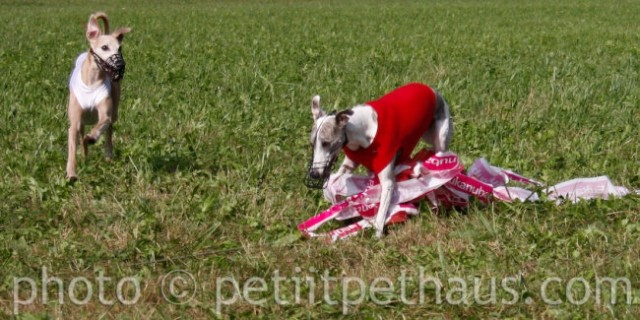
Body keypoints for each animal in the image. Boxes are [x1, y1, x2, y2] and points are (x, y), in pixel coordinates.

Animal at [65, 12, 131, 181]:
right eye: (104, 47)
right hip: (82, 121)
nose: (120, 65)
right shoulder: (75, 121)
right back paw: (85, 153)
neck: (92, 82)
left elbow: (101, 124)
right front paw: (71, 172)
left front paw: (92, 137)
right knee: (82, 135)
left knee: (109, 131)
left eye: (120, 48)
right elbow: (73, 146)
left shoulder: (105, 114)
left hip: (114, 111)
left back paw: (107, 153)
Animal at [306, 82, 452, 238]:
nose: (314, 174)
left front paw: (377, 234)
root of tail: (431, 89)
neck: (363, 131)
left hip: (439, 140)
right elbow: (338, 181)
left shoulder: (387, 181)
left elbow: (382, 210)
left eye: (326, 143)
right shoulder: (353, 165)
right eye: (312, 144)